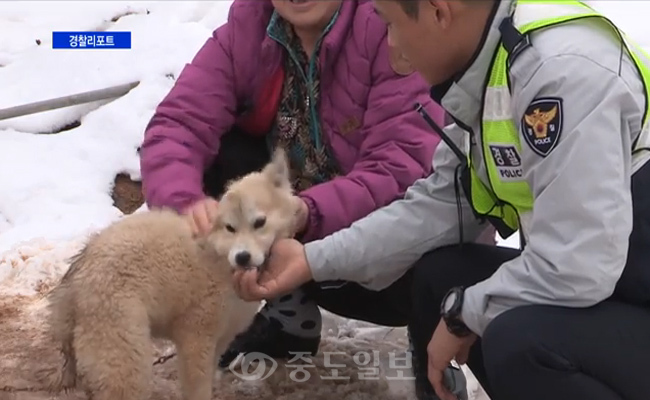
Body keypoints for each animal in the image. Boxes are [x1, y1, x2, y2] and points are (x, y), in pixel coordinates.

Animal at [41, 148, 300, 398]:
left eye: (260, 222)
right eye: (230, 228)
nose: (242, 257)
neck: (220, 257)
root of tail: (77, 276)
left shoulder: (221, 338)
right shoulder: (195, 338)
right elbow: (198, 389)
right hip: (125, 356)